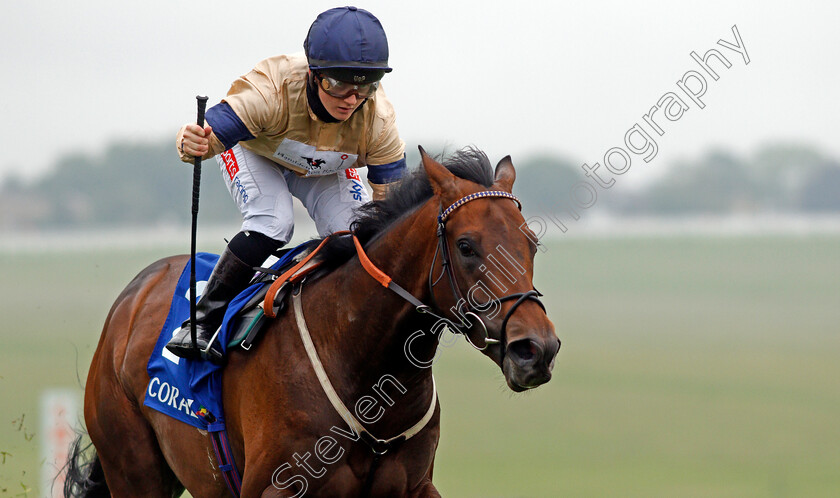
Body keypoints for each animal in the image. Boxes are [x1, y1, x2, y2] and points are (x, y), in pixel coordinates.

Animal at [65, 148, 560, 498]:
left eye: (531, 243)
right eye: (466, 246)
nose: (535, 349)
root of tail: (135, 293)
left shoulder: (414, 487)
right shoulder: (276, 488)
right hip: (133, 467)